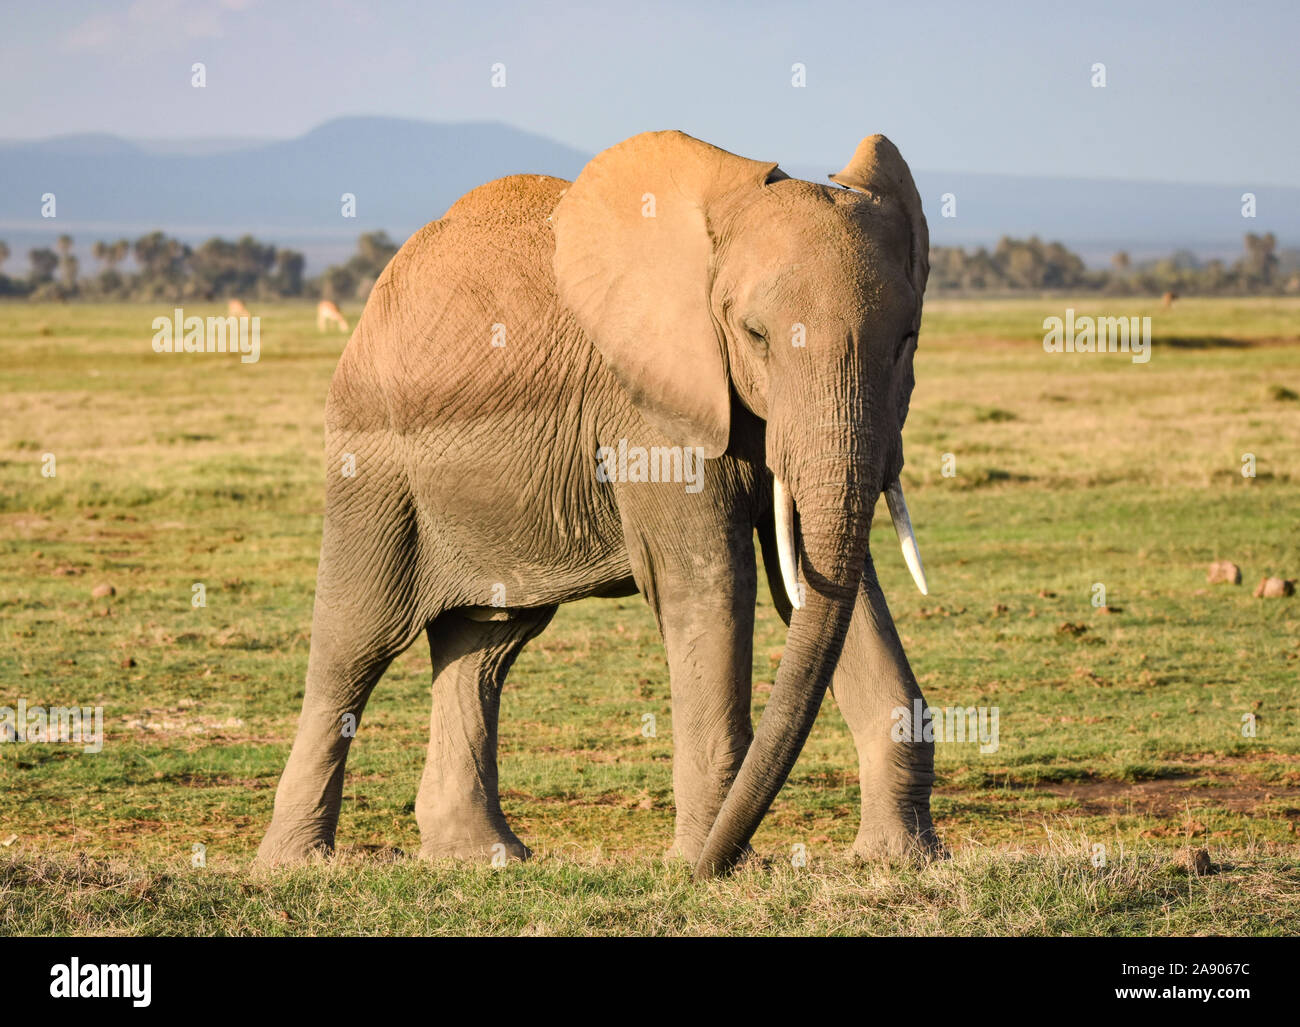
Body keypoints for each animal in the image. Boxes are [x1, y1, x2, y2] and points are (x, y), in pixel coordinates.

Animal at [253, 128, 941, 878]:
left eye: (908, 341)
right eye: (756, 335)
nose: (717, 861)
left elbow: (830, 585)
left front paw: (904, 859)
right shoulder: (649, 409)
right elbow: (710, 582)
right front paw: (715, 868)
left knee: (486, 644)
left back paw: (482, 858)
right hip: (373, 465)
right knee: (354, 643)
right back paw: (296, 864)